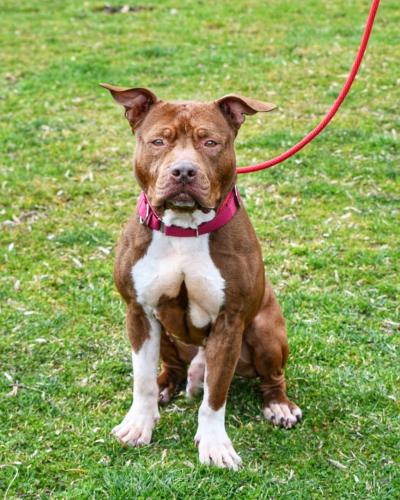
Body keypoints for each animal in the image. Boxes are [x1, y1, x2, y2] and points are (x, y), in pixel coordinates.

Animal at [101, 84, 302, 470]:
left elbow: (215, 396)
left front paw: (215, 446)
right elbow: (141, 381)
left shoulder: (229, 322)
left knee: (272, 376)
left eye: (210, 142)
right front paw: (138, 424)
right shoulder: (138, 311)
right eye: (158, 141)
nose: (183, 171)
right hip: (165, 335)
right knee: (172, 367)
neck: (183, 229)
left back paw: (279, 405)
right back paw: (167, 385)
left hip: (265, 329)